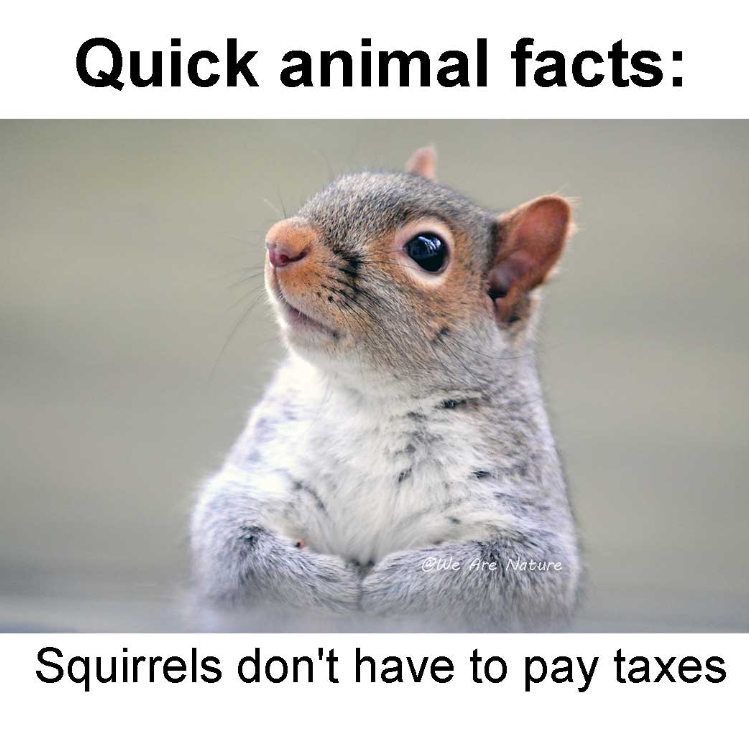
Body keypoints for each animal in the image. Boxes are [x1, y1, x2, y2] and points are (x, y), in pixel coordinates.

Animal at [191, 147, 582, 631]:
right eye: (338, 185)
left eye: (427, 250)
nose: (280, 242)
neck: (373, 399)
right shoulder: (263, 469)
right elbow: (229, 538)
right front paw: (318, 582)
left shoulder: (522, 509)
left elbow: (511, 574)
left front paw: (399, 588)